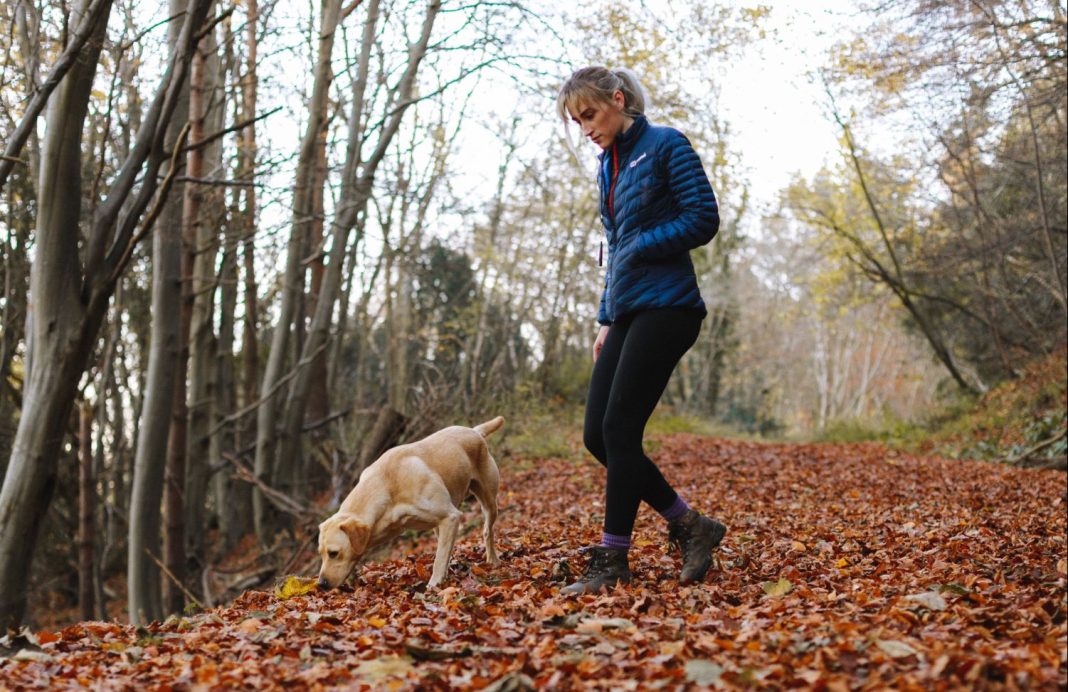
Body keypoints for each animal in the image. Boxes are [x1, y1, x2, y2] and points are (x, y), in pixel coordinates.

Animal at [316, 416, 504, 589]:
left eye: (333, 553)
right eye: (321, 554)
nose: (321, 584)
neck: (387, 485)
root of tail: (474, 431)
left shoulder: (450, 517)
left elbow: (439, 559)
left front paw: (434, 583)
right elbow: (443, 553)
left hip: (488, 502)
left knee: (487, 531)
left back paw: (492, 560)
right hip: (439, 524)